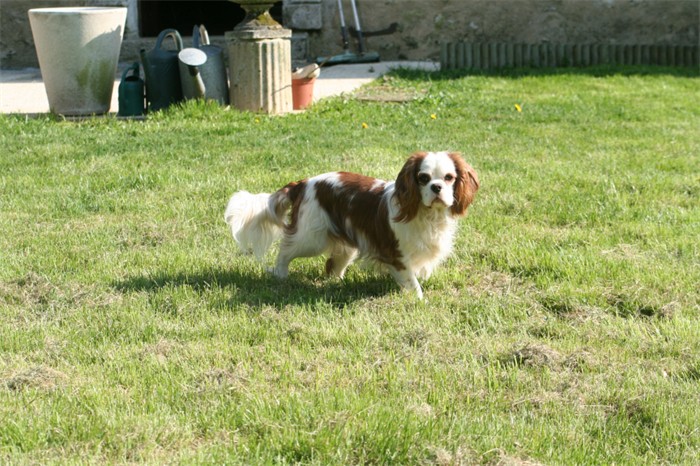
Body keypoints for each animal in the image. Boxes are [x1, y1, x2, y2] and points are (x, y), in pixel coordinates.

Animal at [227, 151, 478, 300]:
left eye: (449, 177)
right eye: (423, 178)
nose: (437, 187)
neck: (426, 215)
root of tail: (303, 183)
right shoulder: (396, 255)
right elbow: (412, 282)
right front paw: (420, 300)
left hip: (345, 246)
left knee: (332, 266)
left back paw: (338, 283)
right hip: (310, 238)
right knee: (285, 251)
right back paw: (280, 275)